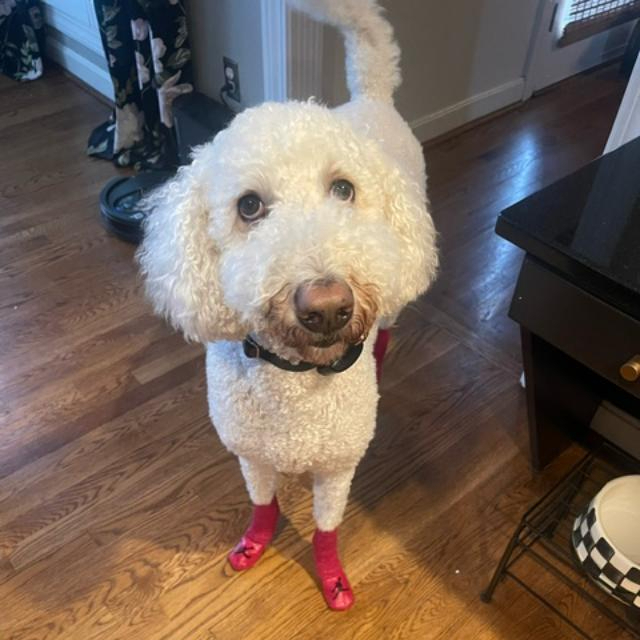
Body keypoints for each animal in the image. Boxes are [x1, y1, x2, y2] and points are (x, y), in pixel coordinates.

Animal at [138, 0, 438, 608]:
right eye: (249, 206)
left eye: (344, 189)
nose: (327, 307)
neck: (297, 378)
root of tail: (371, 97)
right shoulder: (250, 454)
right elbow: (263, 503)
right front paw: (256, 542)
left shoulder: (338, 469)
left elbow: (327, 529)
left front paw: (332, 577)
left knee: (390, 322)